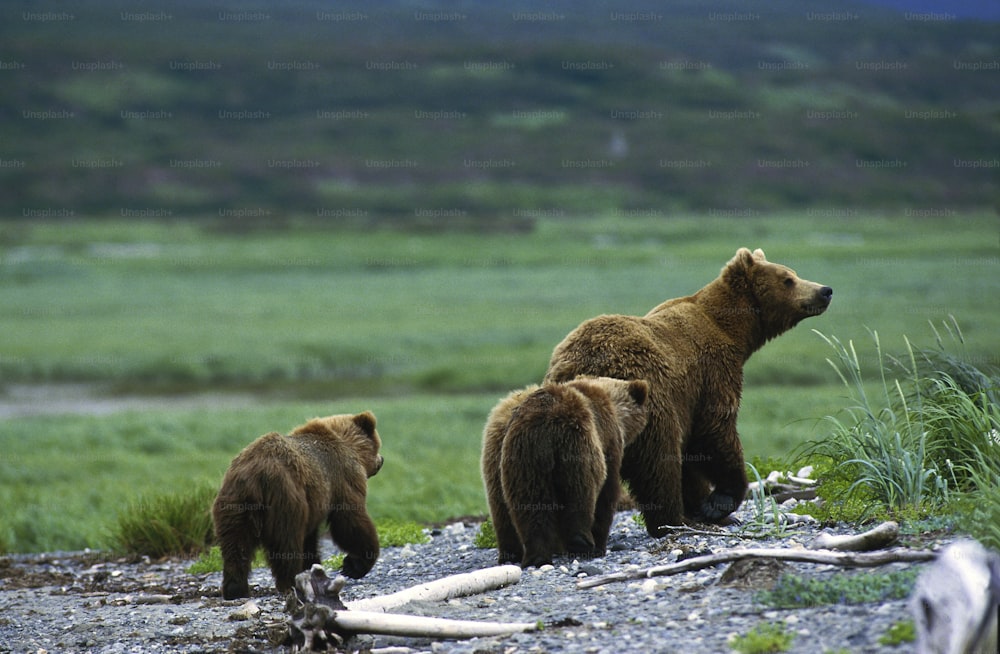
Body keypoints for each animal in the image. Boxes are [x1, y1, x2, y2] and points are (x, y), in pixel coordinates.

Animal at [212, 412, 382, 604]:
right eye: (378, 444)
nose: (381, 460)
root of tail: (254, 475)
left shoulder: (314, 503)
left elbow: (311, 540)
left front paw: (316, 569)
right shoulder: (342, 478)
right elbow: (350, 521)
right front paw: (354, 565)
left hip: (234, 505)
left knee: (235, 546)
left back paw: (235, 589)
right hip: (285, 500)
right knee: (286, 544)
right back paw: (291, 583)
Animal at [482, 380, 648, 568]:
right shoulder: (608, 442)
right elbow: (607, 495)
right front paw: (600, 544)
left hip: (522, 460)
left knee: (525, 505)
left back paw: (528, 556)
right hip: (575, 446)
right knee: (579, 496)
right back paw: (582, 545)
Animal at [544, 249, 832, 536]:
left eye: (793, 273)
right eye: (787, 279)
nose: (825, 290)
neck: (733, 329)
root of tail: (580, 367)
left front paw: (708, 507)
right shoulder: (711, 374)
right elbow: (715, 431)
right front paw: (720, 502)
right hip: (649, 401)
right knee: (660, 463)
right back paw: (674, 521)